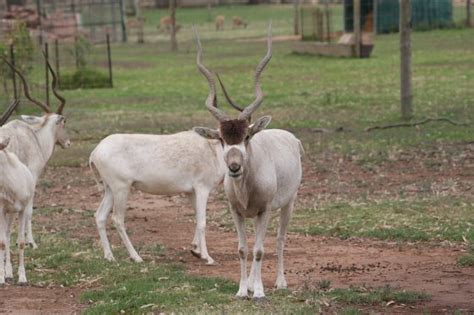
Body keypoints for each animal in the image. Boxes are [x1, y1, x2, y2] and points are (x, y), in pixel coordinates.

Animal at [90, 119, 228, 266]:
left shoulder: (191, 192)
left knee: (100, 216)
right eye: (222, 137)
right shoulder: (202, 189)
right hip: (121, 188)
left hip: (110, 190)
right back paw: (136, 257)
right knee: (117, 219)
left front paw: (196, 250)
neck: (212, 150)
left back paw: (109, 256)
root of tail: (95, 152)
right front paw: (207, 257)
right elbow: (202, 221)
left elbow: (197, 217)